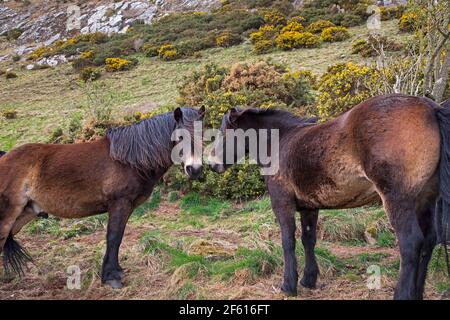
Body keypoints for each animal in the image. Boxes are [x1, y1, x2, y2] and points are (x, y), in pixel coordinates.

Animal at [0, 106, 204, 288]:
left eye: (203, 135)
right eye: (180, 138)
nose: (194, 170)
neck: (129, 161)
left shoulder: (126, 207)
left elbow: (118, 237)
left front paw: (114, 271)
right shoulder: (119, 204)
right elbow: (113, 237)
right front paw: (111, 277)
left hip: (25, 214)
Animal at [210, 94, 450, 298]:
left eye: (224, 133)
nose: (212, 164)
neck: (281, 142)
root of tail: (431, 108)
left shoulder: (282, 203)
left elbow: (288, 241)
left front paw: (289, 285)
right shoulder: (309, 207)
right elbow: (308, 240)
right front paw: (308, 279)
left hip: (398, 201)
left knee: (411, 244)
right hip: (424, 201)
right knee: (428, 242)